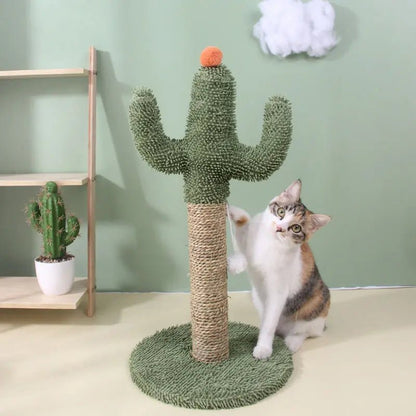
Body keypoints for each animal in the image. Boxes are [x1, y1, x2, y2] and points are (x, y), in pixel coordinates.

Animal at [228, 180, 332, 360]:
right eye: (281, 212)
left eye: (296, 228)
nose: (279, 227)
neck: (269, 241)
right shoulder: (248, 247)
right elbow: (244, 224)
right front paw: (232, 210)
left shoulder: (279, 290)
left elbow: (270, 323)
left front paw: (263, 348)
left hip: (319, 306)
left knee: (307, 332)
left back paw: (292, 342)